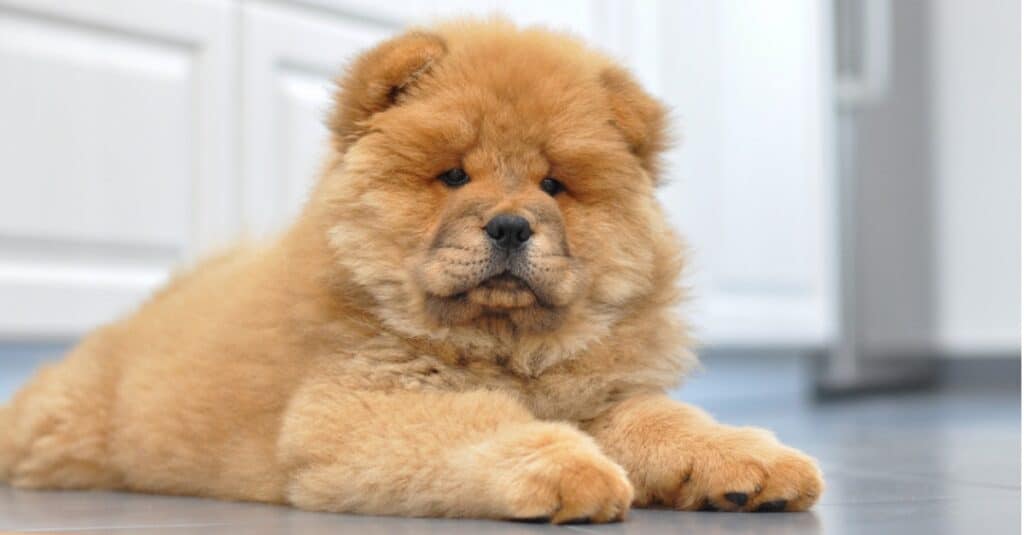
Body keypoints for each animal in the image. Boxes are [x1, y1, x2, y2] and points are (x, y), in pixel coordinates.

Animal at [0, 19, 823, 520]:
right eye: (454, 176)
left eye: (555, 185)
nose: (511, 224)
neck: (505, 349)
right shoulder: (355, 408)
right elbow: (477, 425)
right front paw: (571, 471)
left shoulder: (603, 394)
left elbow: (670, 420)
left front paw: (752, 463)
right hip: (65, 426)